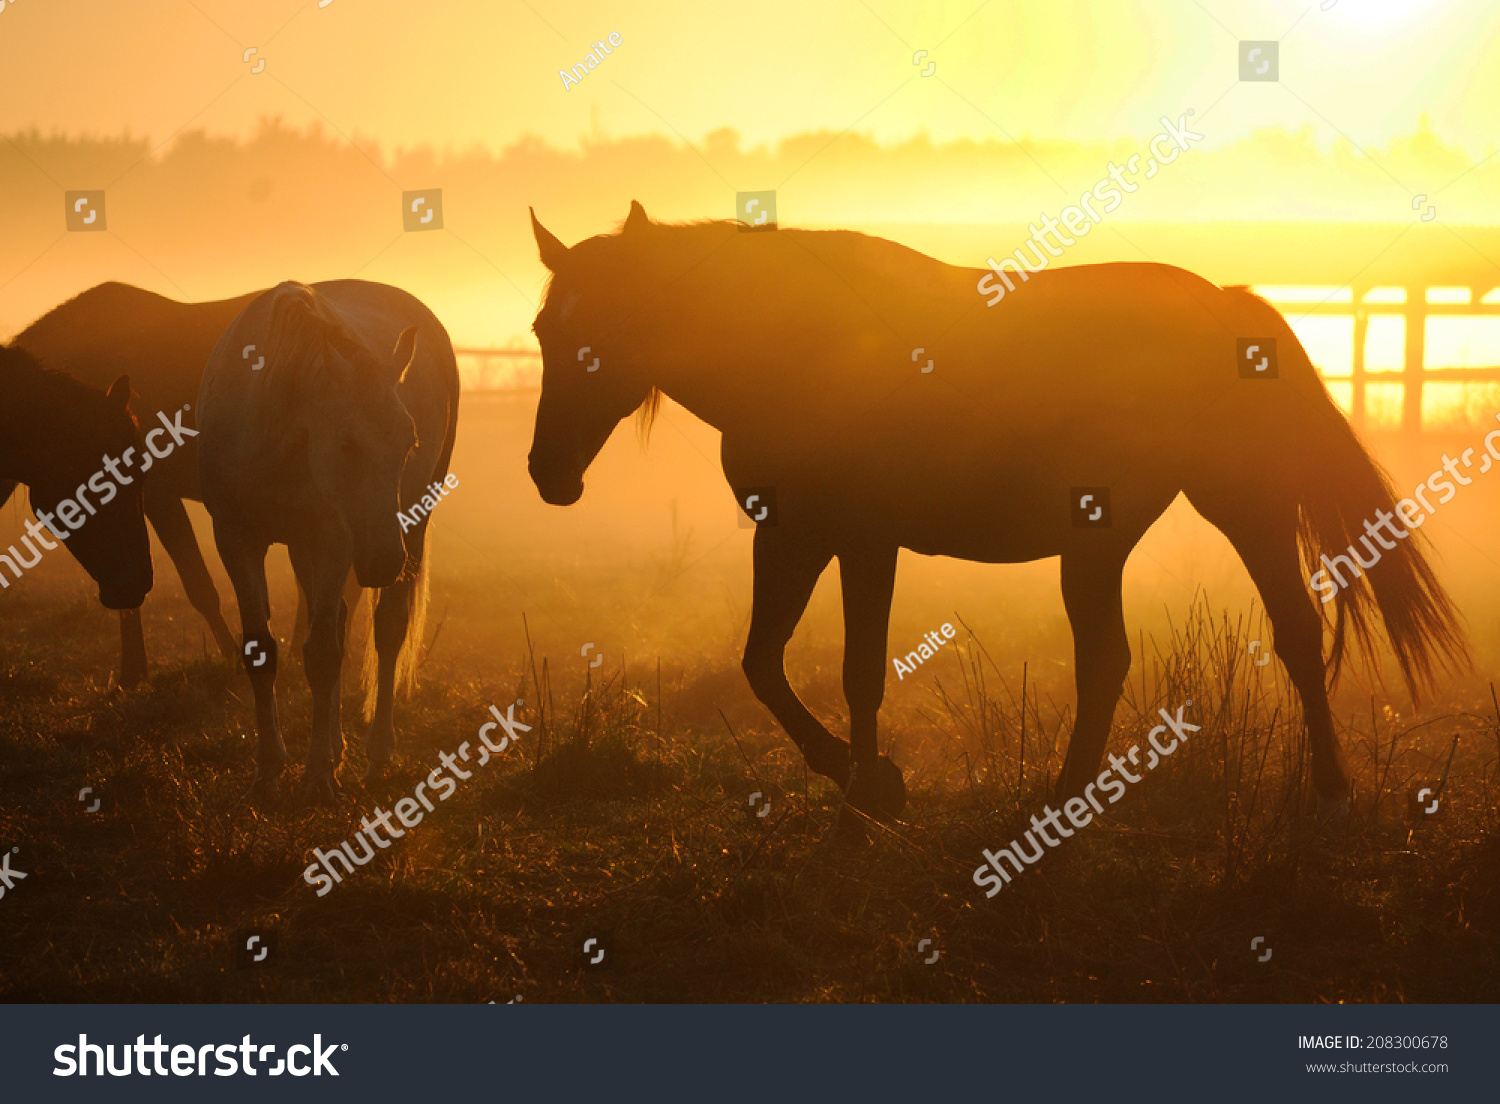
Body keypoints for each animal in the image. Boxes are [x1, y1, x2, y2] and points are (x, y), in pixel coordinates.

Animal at [528, 201, 1464, 822]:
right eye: (543, 330)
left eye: (606, 329)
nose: (547, 474)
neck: (803, 351)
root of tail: (1227, 304)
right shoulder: (788, 534)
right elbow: (762, 663)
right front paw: (857, 776)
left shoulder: (867, 539)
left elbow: (858, 670)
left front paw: (871, 789)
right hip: (1108, 539)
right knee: (1120, 658)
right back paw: (1074, 794)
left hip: (1240, 503)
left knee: (1286, 634)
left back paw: (1324, 790)